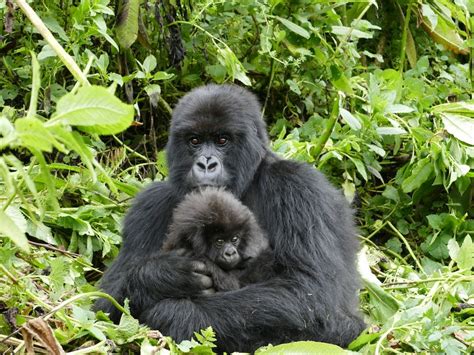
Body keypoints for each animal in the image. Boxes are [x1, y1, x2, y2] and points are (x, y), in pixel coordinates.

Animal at [94, 84, 364, 354]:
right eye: (194, 141)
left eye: (222, 140)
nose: (206, 164)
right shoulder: (149, 205)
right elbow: (104, 305)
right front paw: (162, 275)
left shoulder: (298, 186)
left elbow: (311, 294)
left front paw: (175, 314)